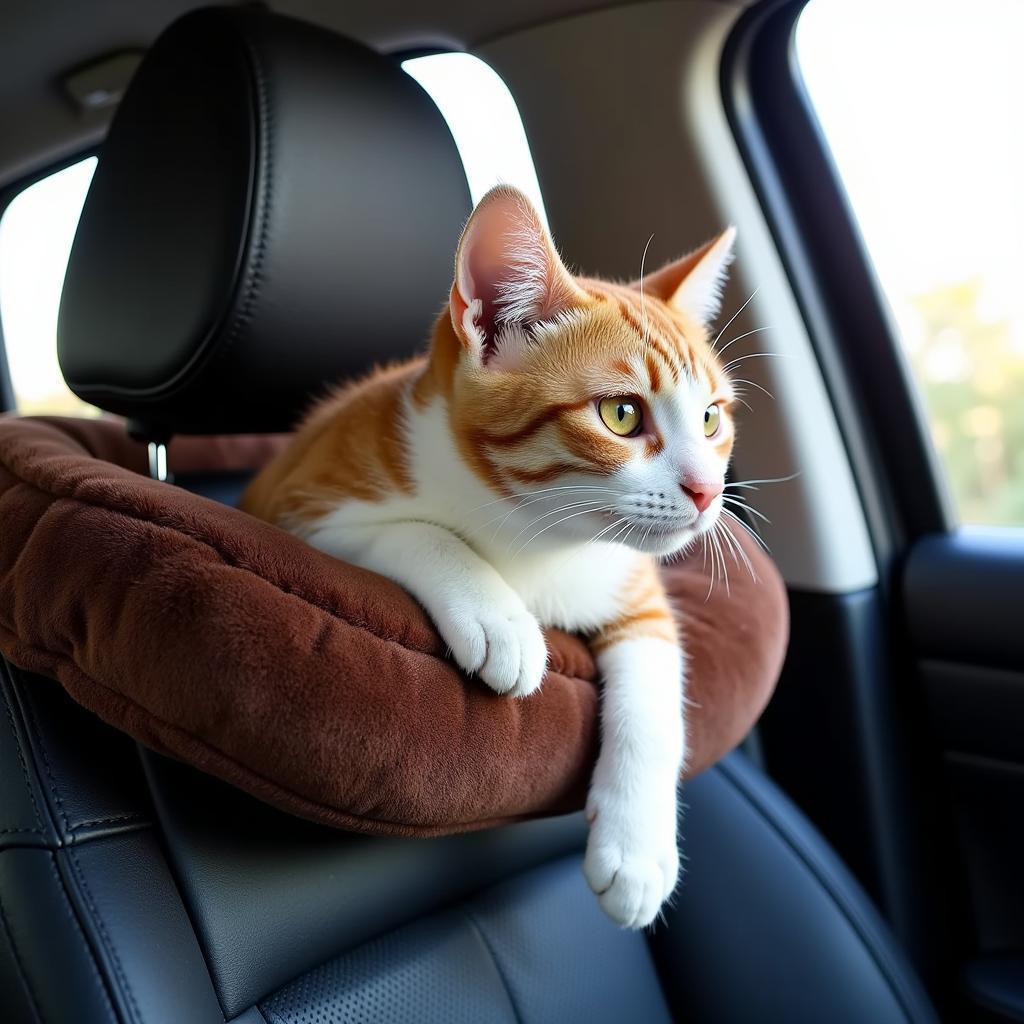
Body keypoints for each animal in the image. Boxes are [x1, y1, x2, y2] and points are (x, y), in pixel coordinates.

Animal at [239, 184, 737, 929]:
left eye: (711, 419)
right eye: (621, 415)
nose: (707, 492)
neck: (538, 534)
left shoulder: (634, 579)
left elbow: (655, 687)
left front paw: (638, 851)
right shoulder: (298, 506)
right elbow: (416, 530)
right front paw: (497, 617)